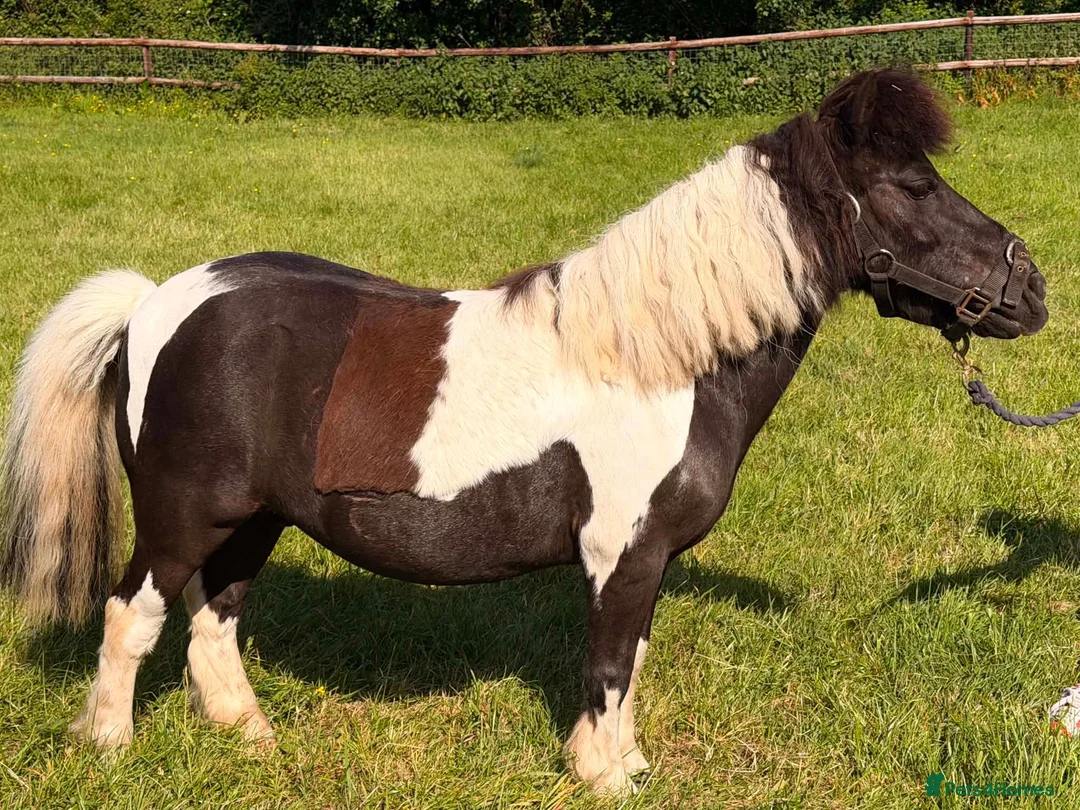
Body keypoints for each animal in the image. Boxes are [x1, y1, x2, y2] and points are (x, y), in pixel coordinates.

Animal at [0, 68, 1049, 796]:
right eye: (915, 187)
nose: (1031, 287)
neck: (658, 358)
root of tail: (153, 305)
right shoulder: (623, 554)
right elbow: (610, 665)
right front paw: (605, 777)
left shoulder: (644, 563)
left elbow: (628, 663)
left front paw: (617, 764)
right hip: (184, 519)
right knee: (133, 614)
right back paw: (110, 747)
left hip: (255, 520)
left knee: (217, 616)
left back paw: (247, 734)